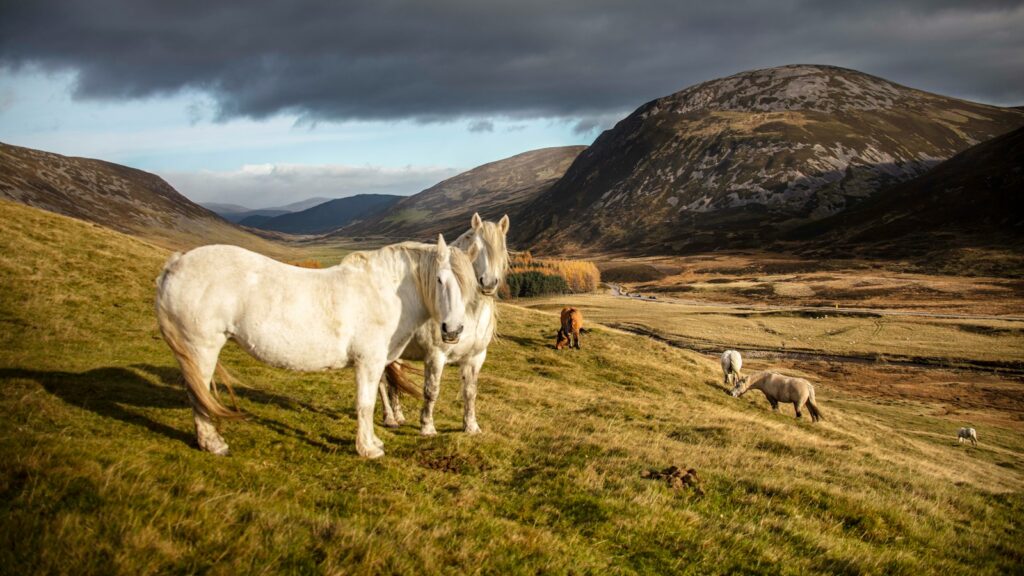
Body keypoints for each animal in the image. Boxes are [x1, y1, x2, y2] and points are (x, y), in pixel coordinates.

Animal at [155, 234, 476, 459]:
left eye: (469, 287)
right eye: (440, 280)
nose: (453, 331)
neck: (383, 292)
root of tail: (176, 264)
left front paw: (373, 441)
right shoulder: (369, 362)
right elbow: (365, 404)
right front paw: (368, 449)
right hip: (201, 349)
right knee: (197, 394)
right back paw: (213, 444)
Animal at [378, 213, 510, 436]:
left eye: (502, 247)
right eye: (476, 246)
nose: (488, 283)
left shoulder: (475, 358)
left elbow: (470, 391)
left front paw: (471, 426)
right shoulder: (435, 356)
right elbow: (431, 391)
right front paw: (427, 427)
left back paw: (398, 415)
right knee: (379, 381)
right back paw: (389, 418)